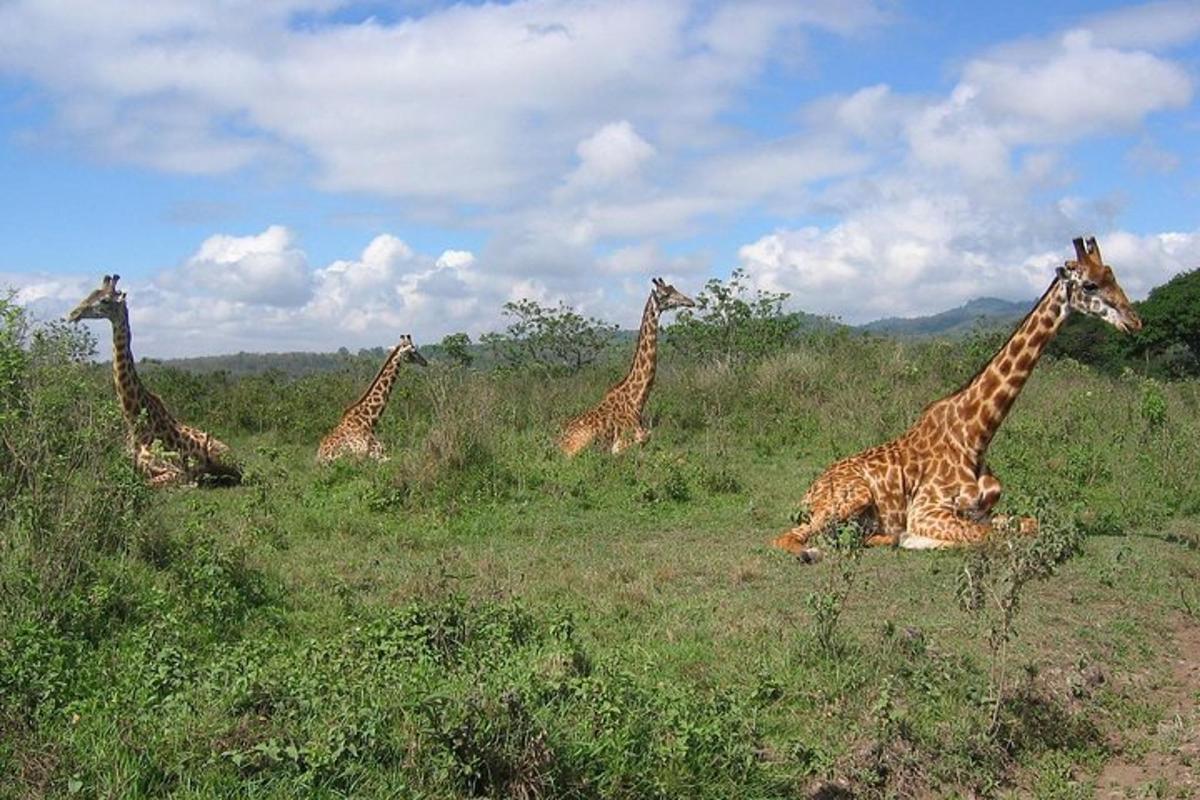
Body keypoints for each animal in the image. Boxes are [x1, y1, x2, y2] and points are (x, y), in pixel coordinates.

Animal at [67, 275, 243, 489]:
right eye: (91, 293)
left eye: (105, 301)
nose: (73, 314)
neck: (134, 421)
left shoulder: (174, 470)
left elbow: (150, 483)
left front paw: (189, 483)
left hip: (220, 456)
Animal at [554, 278, 696, 455]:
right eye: (666, 294)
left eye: (674, 289)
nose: (690, 302)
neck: (636, 400)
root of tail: (557, 444)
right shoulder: (626, 440)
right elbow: (644, 440)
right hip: (580, 445)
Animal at [772, 237, 1137, 561]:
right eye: (1090, 285)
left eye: (1114, 276)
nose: (1134, 321)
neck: (976, 434)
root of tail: (809, 491)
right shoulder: (926, 510)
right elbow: (990, 538)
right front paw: (919, 539)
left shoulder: (983, 511)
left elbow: (1029, 525)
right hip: (852, 496)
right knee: (790, 537)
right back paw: (813, 552)